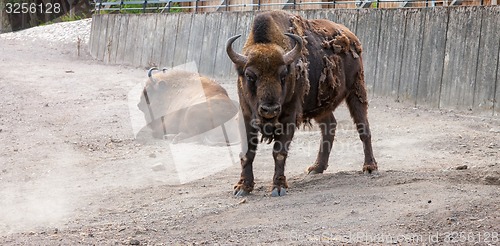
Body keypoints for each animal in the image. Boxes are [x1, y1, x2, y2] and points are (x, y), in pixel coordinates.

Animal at [225, 10, 376, 197]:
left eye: (283, 75)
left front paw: (278, 188)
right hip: (322, 106)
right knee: (329, 126)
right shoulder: (246, 116)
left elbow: (279, 152)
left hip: (356, 91)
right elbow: (247, 153)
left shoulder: (288, 117)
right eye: (249, 75)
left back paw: (370, 167)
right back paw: (316, 168)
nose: (270, 109)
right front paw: (242, 187)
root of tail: (351, 37)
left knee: (363, 128)